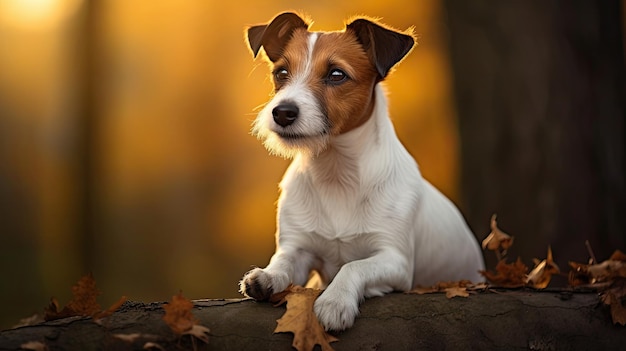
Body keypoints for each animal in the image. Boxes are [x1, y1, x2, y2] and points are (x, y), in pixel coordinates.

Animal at [238, 12, 482, 332]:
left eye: (336, 74)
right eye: (281, 73)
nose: (282, 112)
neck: (337, 172)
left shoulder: (395, 261)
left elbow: (354, 266)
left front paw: (335, 301)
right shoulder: (298, 248)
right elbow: (283, 262)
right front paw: (266, 275)